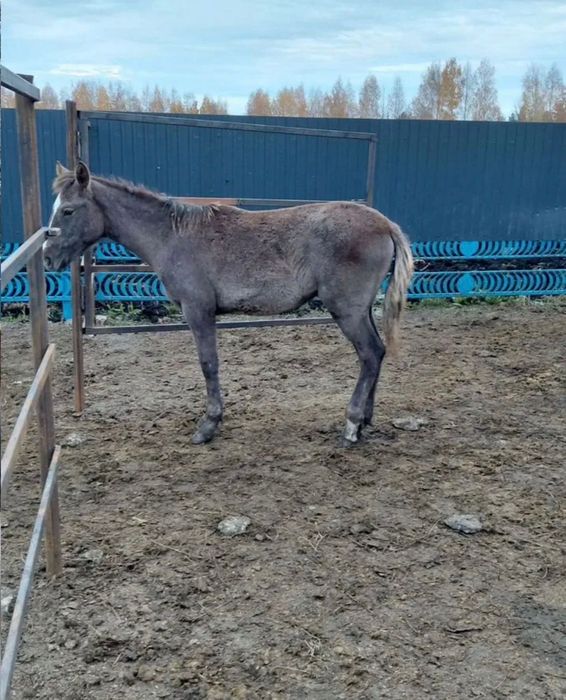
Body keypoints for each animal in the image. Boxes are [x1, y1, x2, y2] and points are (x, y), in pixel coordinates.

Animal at [44, 161, 413, 446]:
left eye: (67, 210)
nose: (49, 258)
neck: (173, 236)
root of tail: (385, 224)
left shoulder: (198, 312)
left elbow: (209, 365)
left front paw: (208, 425)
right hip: (361, 311)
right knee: (377, 353)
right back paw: (365, 420)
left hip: (347, 312)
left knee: (369, 354)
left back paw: (351, 425)